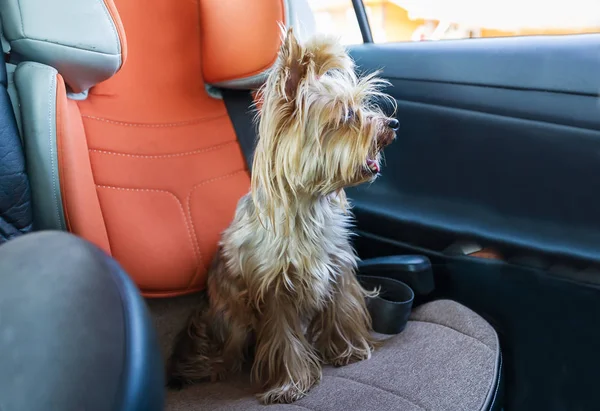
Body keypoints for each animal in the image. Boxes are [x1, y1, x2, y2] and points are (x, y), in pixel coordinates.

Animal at [166, 27, 398, 404]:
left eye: (363, 106)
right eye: (347, 115)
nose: (392, 123)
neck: (308, 203)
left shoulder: (337, 267)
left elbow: (342, 311)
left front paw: (349, 350)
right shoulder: (273, 288)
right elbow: (283, 339)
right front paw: (290, 384)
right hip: (230, 316)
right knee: (226, 348)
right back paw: (205, 368)